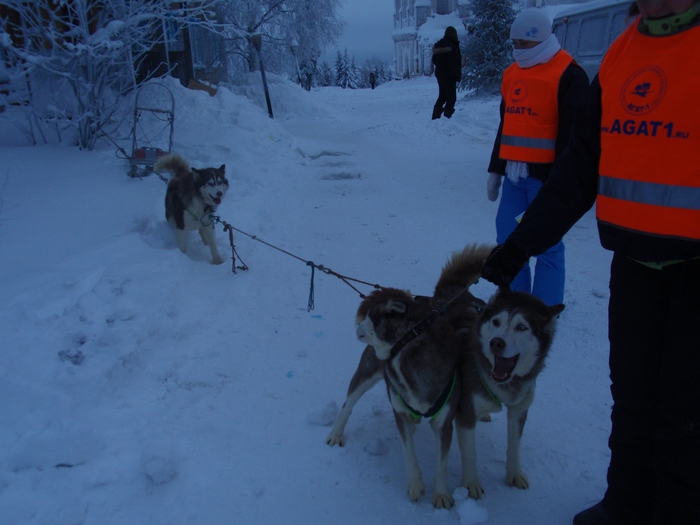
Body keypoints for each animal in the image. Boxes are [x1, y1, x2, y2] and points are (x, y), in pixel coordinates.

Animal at [330, 244, 492, 506]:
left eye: (370, 318)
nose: (358, 327)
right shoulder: (400, 413)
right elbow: (409, 452)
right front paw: (415, 484)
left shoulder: (444, 422)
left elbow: (441, 463)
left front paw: (441, 494)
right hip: (366, 373)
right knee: (348, 403)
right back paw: (335, 433)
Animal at [456, 288, 568, 498]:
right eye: (496, 322)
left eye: (522, 327)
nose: (496, 343)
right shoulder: (465, 411)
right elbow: (469, 453)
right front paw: (470, 483)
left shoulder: (519, 410)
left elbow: (515, 445)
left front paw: (514, 474)